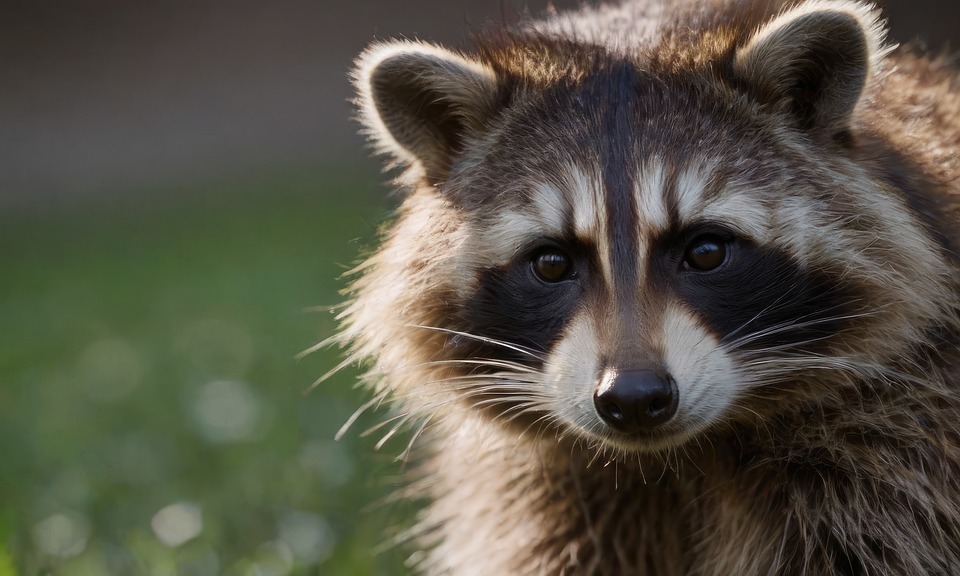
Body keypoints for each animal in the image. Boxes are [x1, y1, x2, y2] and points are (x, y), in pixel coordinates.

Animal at [336, 0, 960, 573]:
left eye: (706, 252)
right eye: (552, 263)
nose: (633, 398)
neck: (673, 460)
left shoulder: (895, 457)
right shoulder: (549, 498)